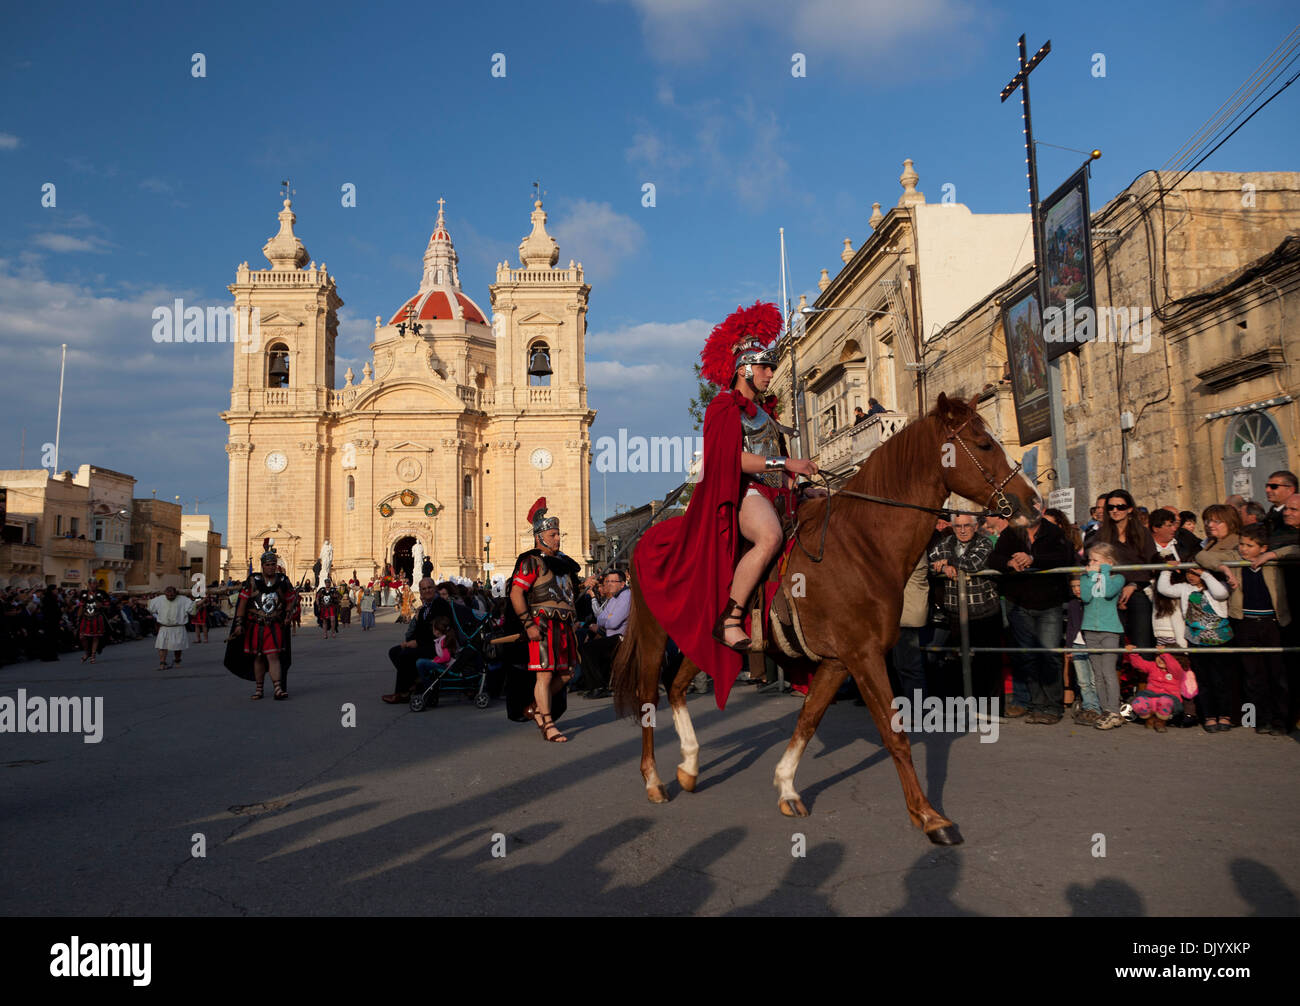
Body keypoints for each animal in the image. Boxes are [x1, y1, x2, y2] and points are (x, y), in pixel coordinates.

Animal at [613, 395, 1040, 842]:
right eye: (984, 444)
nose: (1033, 503)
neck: (861, 542)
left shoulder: (838, 661)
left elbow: (809, 718)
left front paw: (786, 787)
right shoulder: (863, 655)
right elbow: (894, 734)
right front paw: (929, 816)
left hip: (701, 638)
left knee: (678, 687)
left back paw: (690, 766)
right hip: (654, 634)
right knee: (650, 696)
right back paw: (654, 781)